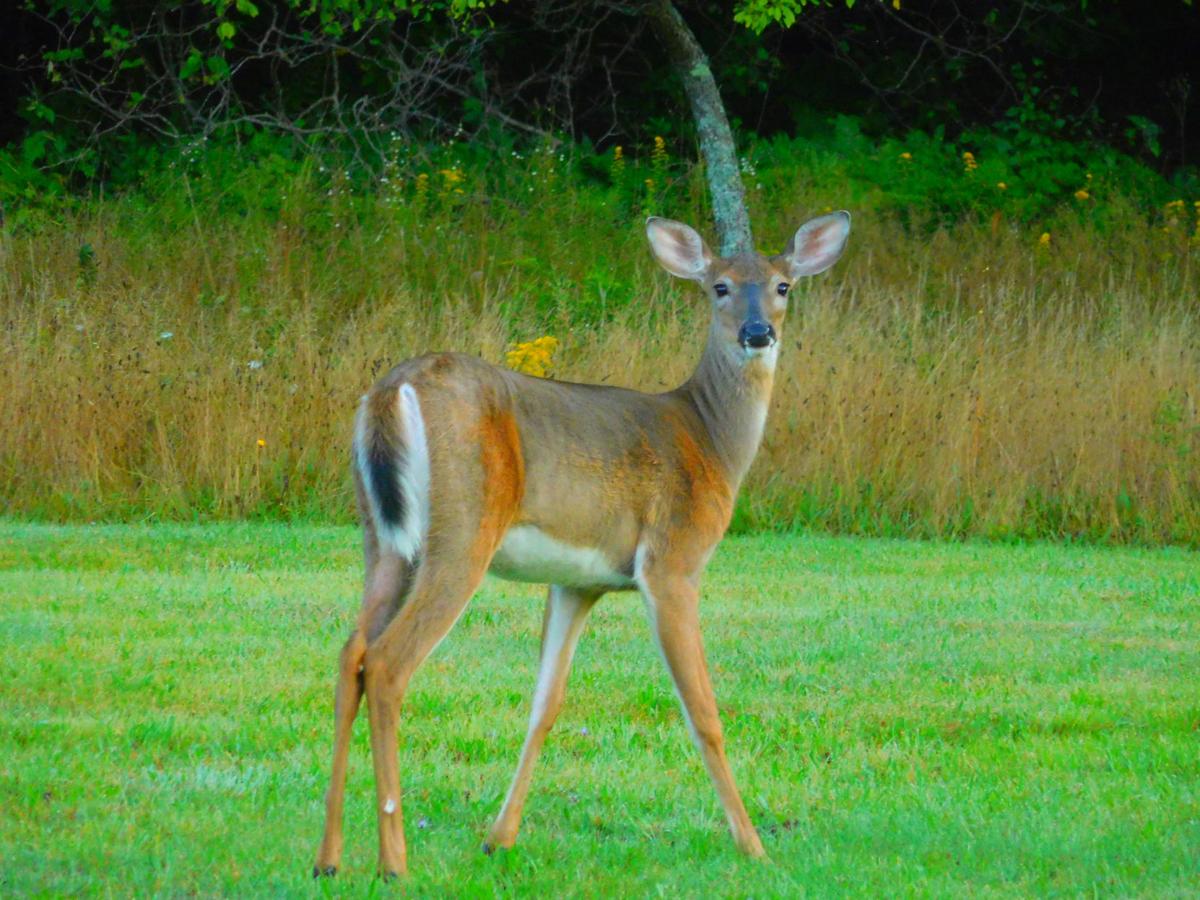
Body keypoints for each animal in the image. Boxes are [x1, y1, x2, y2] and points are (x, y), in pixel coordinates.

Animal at [314, 210, 849, 873]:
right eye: (719, 287)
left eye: (783, 286)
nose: (758, 333)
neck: (712, 442)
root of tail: (393, 387)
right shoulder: (672, 562)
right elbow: (703, 712)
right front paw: (753, 846)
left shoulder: (578, 583)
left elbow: (545, 704)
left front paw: (499, 838)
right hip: (462, 532)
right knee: (387, 664)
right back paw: (394, 863)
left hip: (383, 538)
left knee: (351, 654)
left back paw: (329, 857)